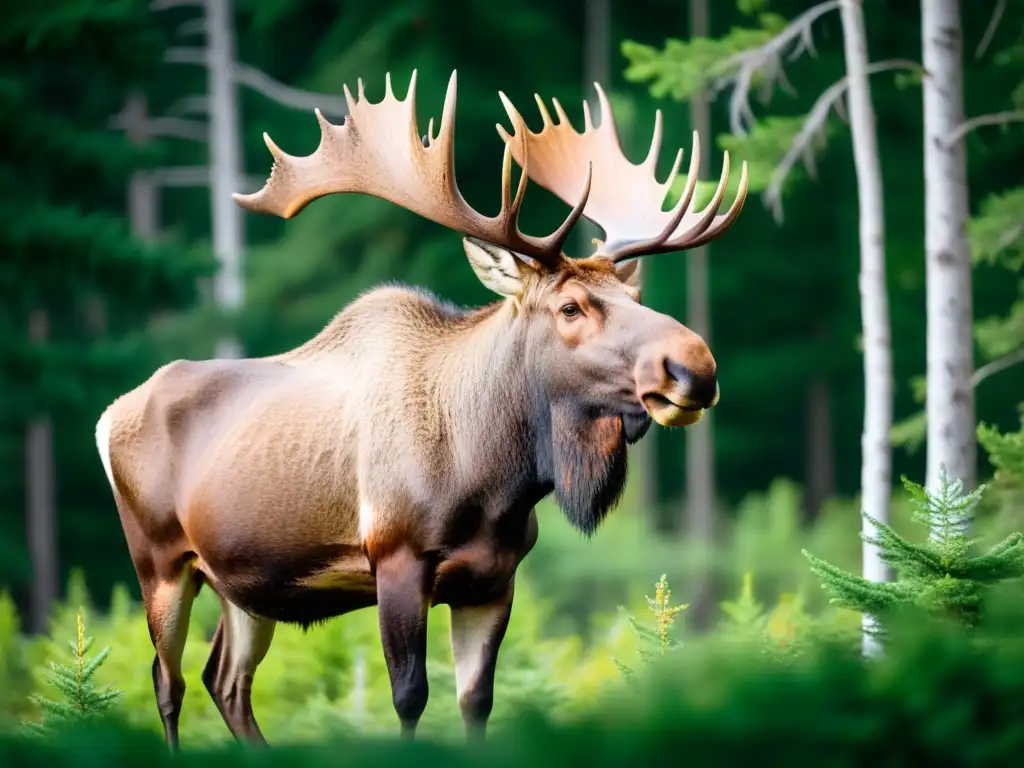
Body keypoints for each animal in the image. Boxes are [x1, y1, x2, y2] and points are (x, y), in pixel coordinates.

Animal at [96, 69, 749, 749]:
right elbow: (409, 697)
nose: (695, 366)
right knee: (167, 681)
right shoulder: (397, 559)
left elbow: (476, 700)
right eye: (570, 307)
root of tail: (110, 414)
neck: (494, 478)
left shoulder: (492, 580)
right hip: (161, 562)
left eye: (635, 297)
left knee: (225, 680)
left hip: (243, 584)